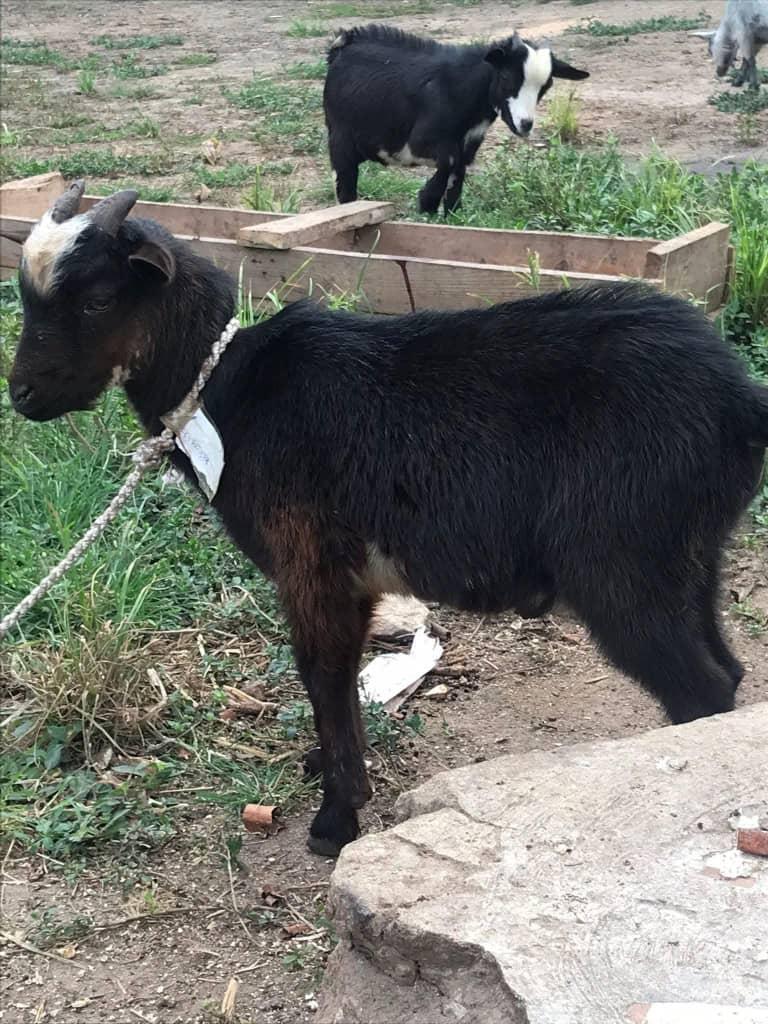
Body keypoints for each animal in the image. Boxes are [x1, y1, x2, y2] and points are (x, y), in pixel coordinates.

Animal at [9, 183, 768, 856]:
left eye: (96, 299)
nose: (22, 396)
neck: (231, 391)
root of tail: (742, 403)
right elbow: (334, 679)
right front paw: (326, 767)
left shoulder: (312, 564)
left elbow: (322, 672)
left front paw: (336, 818)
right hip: (690, 555)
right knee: (727, 672)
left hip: (621, 565)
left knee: (698, 687)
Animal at [323, 24, 588, 216]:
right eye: (505, 77)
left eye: (546, 86)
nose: (525, 124)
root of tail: (341, 46)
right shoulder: (418, 142)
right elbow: (450, 161)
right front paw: (427, 200)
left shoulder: (468, 143)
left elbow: (457, 171)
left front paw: (447, 211)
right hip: (340, 137)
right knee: (345, 184)